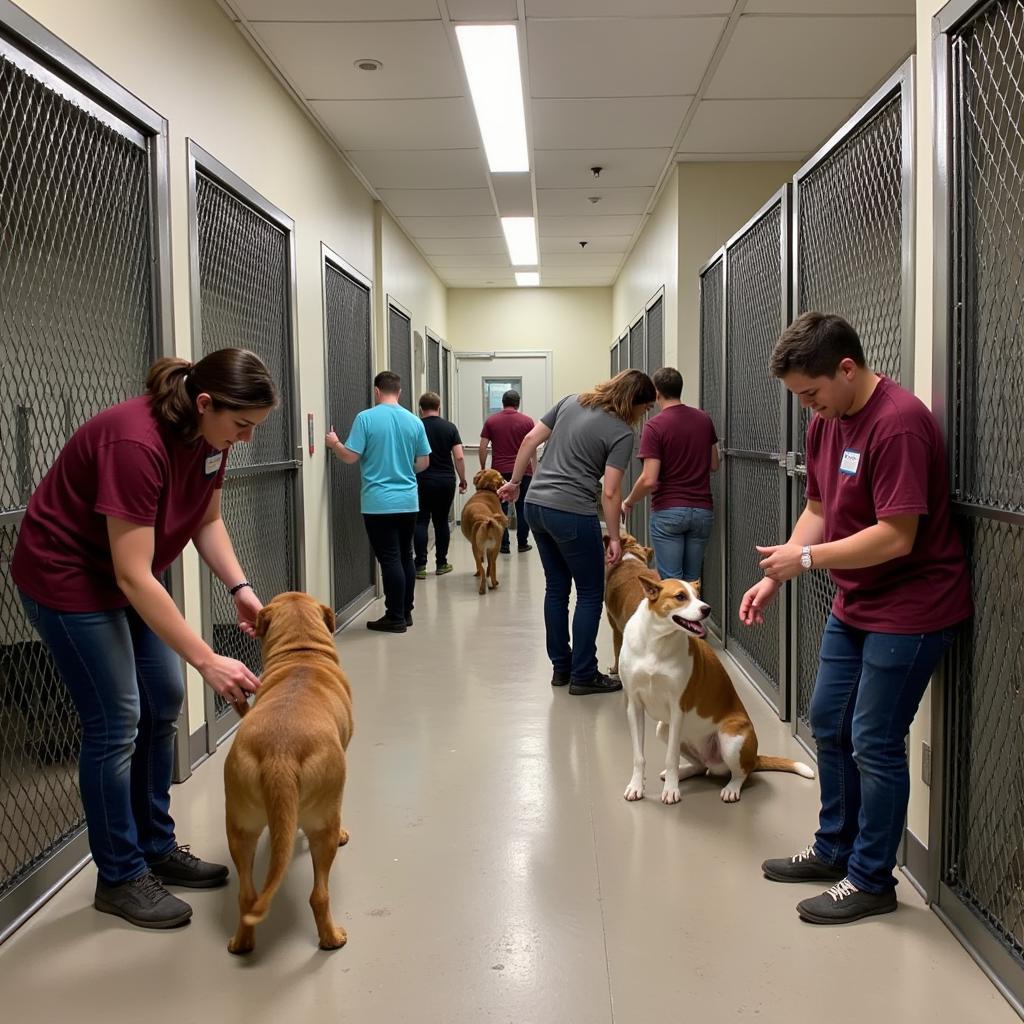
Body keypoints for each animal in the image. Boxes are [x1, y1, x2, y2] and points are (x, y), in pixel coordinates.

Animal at [222, 593, 354, 950]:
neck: (302, 652)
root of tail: (279, 755)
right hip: (323, 823)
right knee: (318, 895)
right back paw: (332, 938)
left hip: (239, 825)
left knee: (247, 895)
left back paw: (241, 943)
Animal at [462, 468, 509, 598]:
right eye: (501, 477)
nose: (506, 479)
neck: (485, 490)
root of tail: (486, 522)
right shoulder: (489, 550)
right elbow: (489, 566)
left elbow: (481, 566)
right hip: (495, 549)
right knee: (492, 566)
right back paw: (494, 583)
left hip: (477, 550)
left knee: (482, 568)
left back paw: (482, 588)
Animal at [614, 581, 815, 802]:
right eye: (680, 596)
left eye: (698, 594)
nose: (707, 609)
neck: (656, 642)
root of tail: (755, 757)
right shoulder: (634, 707)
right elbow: (639, 756)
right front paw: (636, 786)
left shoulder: (677, 708)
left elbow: (670, 756)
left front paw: (671, 790)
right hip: (664, 729)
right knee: (701, 766)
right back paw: (683, 772)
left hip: (730, 739)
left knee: (742, 772)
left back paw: (731, 788)